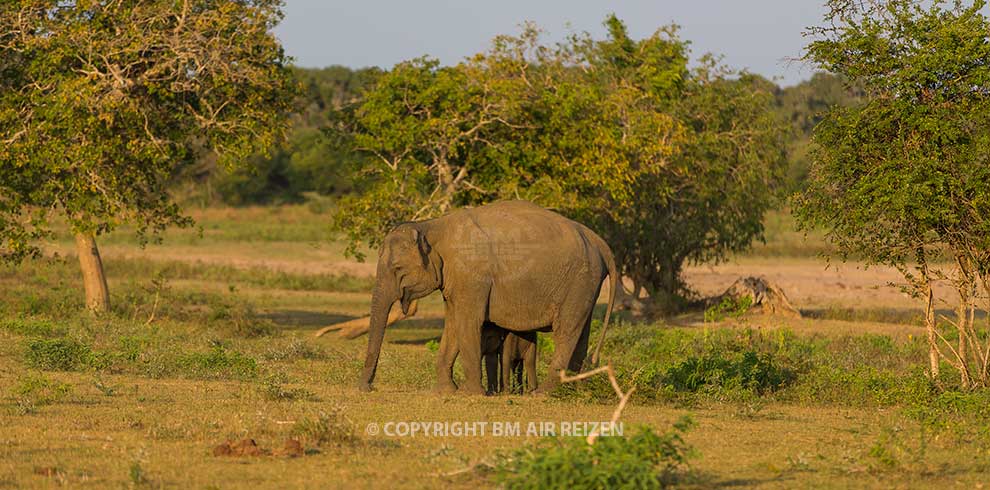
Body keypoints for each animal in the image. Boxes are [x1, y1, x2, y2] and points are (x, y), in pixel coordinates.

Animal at [360, 199, 616, 394]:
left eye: (397, 269)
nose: (368, 388)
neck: (433, 226)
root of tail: (600, 242)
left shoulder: (471, 276)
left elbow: (467, 322)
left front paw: (470, 393)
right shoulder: (456, 280)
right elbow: (453, 324)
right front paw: (447, 391)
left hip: (579, 280)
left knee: (566, 332)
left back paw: (545, 393)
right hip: (586, 285)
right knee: (580, 333)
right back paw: (571, 391)